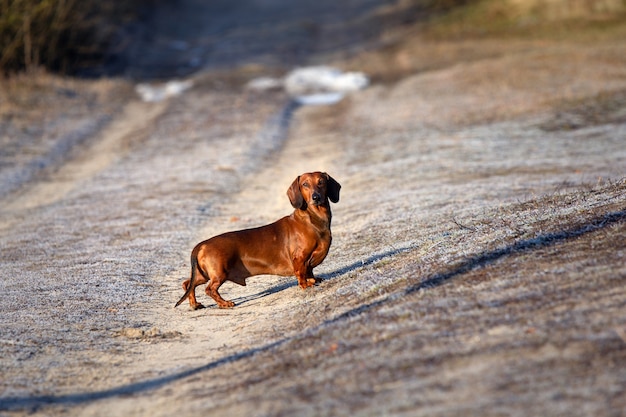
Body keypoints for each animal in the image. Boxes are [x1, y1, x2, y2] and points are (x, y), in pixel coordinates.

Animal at [174, 170, 342, 308]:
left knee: (187, 284)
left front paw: (314, 280)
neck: (312, 221)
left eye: (321, 182)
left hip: (203, 274)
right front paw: (306, 285)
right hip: (219, 273)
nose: (316, 197)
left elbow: (310, 271)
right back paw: (225, 303)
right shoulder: (300, 258)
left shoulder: (308, 263)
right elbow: (302, 274)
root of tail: (201, 245)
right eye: (305, 184)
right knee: (209, 289)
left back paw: (195, 304)